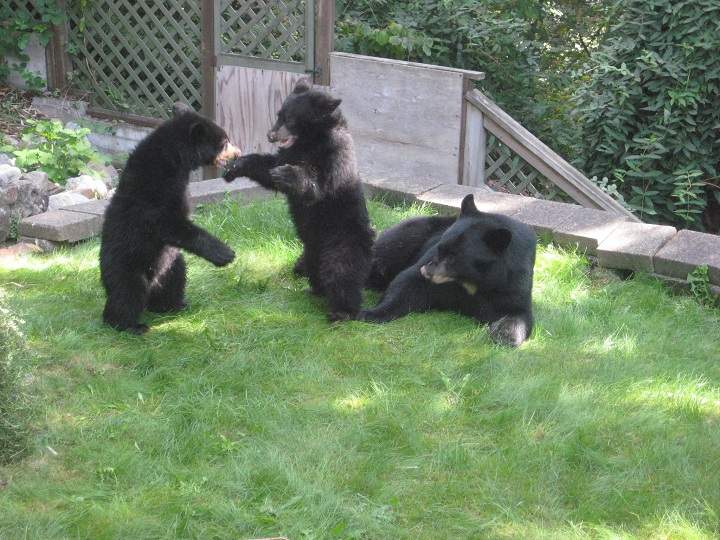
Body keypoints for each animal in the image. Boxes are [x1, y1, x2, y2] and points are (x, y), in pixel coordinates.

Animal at [100, 103, 240, 334]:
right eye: (224, 141)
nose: (238, 152)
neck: (174, 158)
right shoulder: (155, 192)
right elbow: (168, 223)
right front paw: (225, 253)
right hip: (127, 265)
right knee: (127, 293)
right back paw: (129, 325)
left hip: (171, 264)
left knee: (175, 279)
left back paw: (174, 305)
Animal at [223, 80, 375, 321]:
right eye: (279, 114)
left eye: (291, 120)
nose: (270, 135)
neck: (308, 142)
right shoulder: (289, 153)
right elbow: (268, 168)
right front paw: (235, 166)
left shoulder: (334, 153)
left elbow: (322, 185)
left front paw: (288, 174)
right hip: (312, 249)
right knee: (316, 269)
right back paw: (315, 288)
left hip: (342, 240)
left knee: (342, 273)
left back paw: (342, 310)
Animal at [360, 194, 536, 347]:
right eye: (440, 247)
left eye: (453, 257)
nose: (426, 270)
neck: (470, 282)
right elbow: (408, 283)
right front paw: (371, 313)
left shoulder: (511, 283)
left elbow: (517, 312)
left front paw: (505, 336)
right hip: (408, 235)